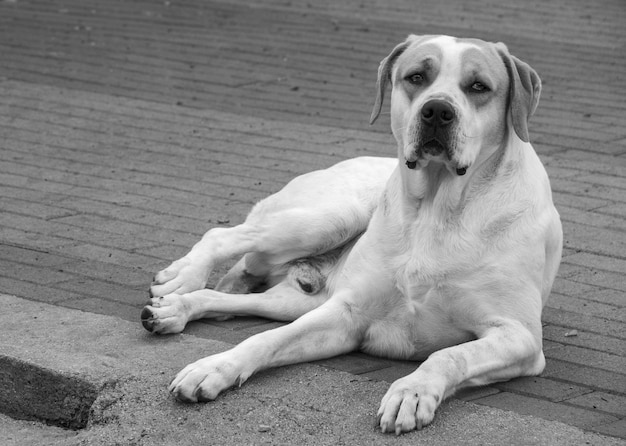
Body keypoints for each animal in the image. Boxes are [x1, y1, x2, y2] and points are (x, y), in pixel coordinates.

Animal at [141, 35, 560, 436]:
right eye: (416, 77)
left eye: (478, 86)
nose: (437, 110)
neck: (436, 209)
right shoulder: (346, 314)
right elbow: (265, 340)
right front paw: (214, 366)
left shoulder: (518, 337)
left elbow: (449, 354)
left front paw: (411, 392)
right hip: (333, 216)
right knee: (223, 236)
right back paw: (181, 280)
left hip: (300, 298)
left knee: (238, 298)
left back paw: (175, 309)